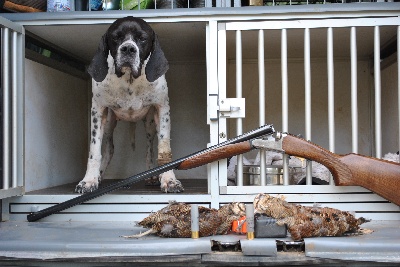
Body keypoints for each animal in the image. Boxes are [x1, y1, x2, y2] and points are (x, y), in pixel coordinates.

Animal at [75, 15, 184, 194]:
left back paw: (152, 175)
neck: (129, 80)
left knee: (149, 149)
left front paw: (169, 179)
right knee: (109, 149)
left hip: (149, 124)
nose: (128, 49)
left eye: (142, 38)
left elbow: (164, 147)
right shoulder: (98, 111)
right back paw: (99, 175)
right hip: (109, 123)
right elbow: (94, 150)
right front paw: (89, 181)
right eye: (116, 37)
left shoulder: (162, 110)